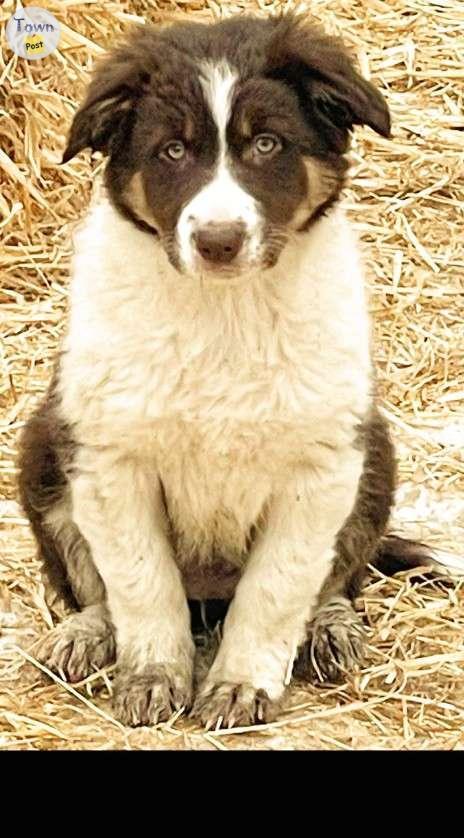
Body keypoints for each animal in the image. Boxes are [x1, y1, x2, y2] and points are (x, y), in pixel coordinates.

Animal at [19, 13, 450, 728]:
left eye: (267, 144)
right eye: (172, 151)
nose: (217, 242)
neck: (225, 313)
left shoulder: (320, 463)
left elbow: (277, 587)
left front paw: (239, 685)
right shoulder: (113, 456)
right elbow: (141, 580)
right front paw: (154, 678)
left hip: (375, 456)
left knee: (336, 578)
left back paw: (331, 627)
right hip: (45, 445)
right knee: (95, 583)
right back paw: (86, 632)